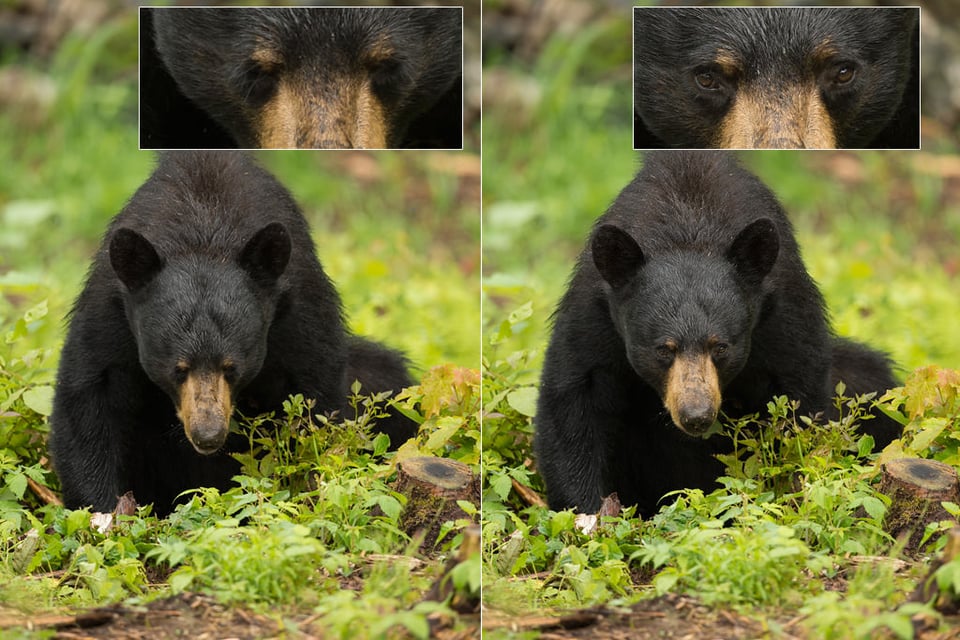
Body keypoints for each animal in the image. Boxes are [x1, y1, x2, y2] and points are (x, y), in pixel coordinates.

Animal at [49, 152, 416, 516]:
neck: (203, 230)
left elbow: (316, 400)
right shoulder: (110, 312)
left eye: (232, 367)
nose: (208, 435)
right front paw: (104, 511)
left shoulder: (299, 308)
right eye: (177, 369)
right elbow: (90, 398)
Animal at [536, 152, 904, 516]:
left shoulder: (785, 312)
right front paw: (589, 513)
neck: (689, 227)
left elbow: (798, 401)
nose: (696, 416)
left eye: (721, 347)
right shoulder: (594, 317)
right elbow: (573, 402)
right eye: (663, 349)